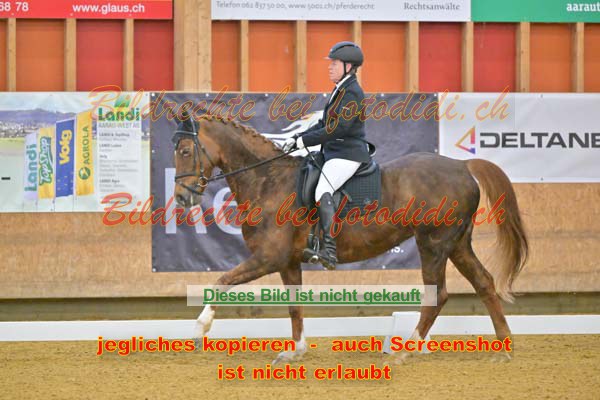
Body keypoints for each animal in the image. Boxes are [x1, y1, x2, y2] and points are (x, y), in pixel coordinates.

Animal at [171, 115, 528, 364]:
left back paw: (405, 351)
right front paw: (295, 351)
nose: (182, 198)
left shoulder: (268, 258)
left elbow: (222, 281)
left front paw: (199, 329)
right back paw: (504, 349)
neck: (267, 180)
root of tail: (462, 165)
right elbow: (294, 306)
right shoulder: (287, 262)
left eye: (186, 151)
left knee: (437, 295)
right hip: (457, 244)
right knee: (484, 282)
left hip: (434, 244)